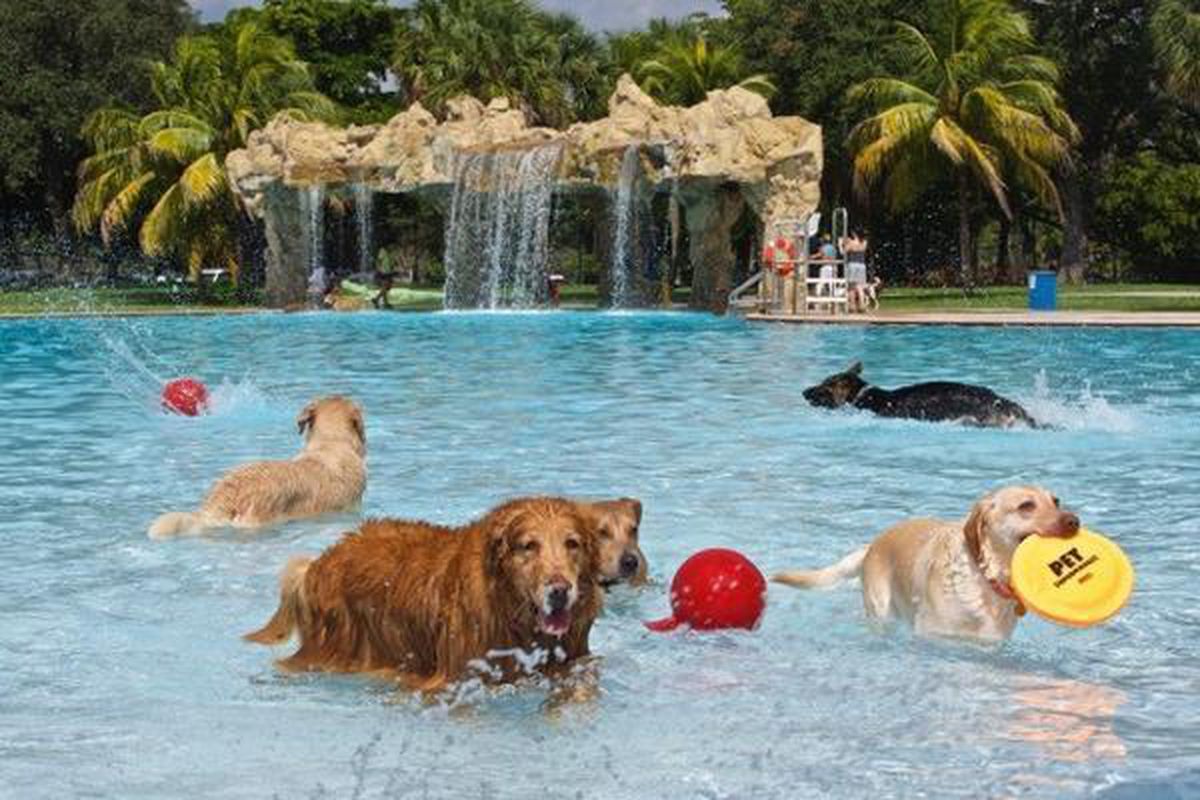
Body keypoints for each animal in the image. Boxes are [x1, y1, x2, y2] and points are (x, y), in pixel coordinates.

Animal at [772, 489, 1084, 642]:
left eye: (1056, 501)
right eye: (1026, 506)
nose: (1074, 521)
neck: (985, 579)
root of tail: (872, 545)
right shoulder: (933, 634)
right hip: (881, 609)